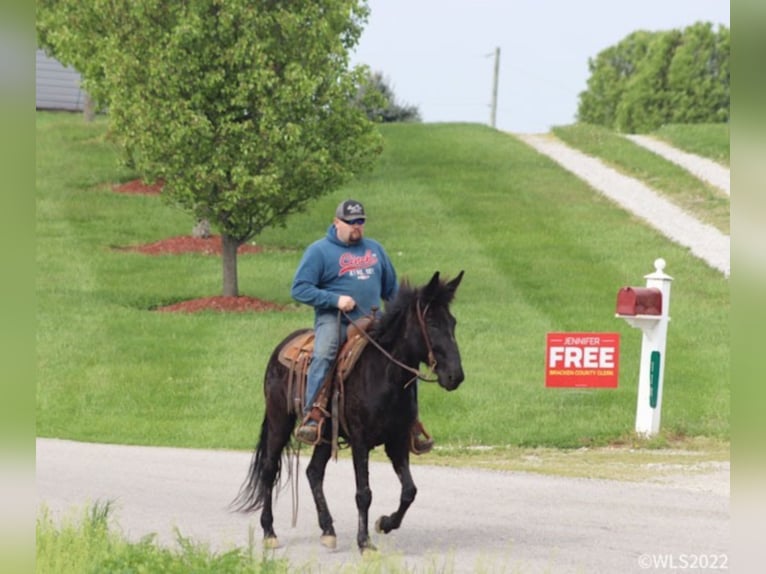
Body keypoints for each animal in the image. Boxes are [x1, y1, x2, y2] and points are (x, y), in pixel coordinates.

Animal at [231, 272, 464, 556]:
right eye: (431, 323)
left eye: (452, 322)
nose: (455, 376)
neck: (384, 375)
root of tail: (282, 347)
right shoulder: (360, 442)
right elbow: (363, 493)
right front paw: (365, 543)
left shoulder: (397, 441)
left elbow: (409, 491)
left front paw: (384, 523)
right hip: (279, 421)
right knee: (269, 469)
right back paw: (269, 532)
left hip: (324, 435)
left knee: (313, 472)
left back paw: (328, 530)